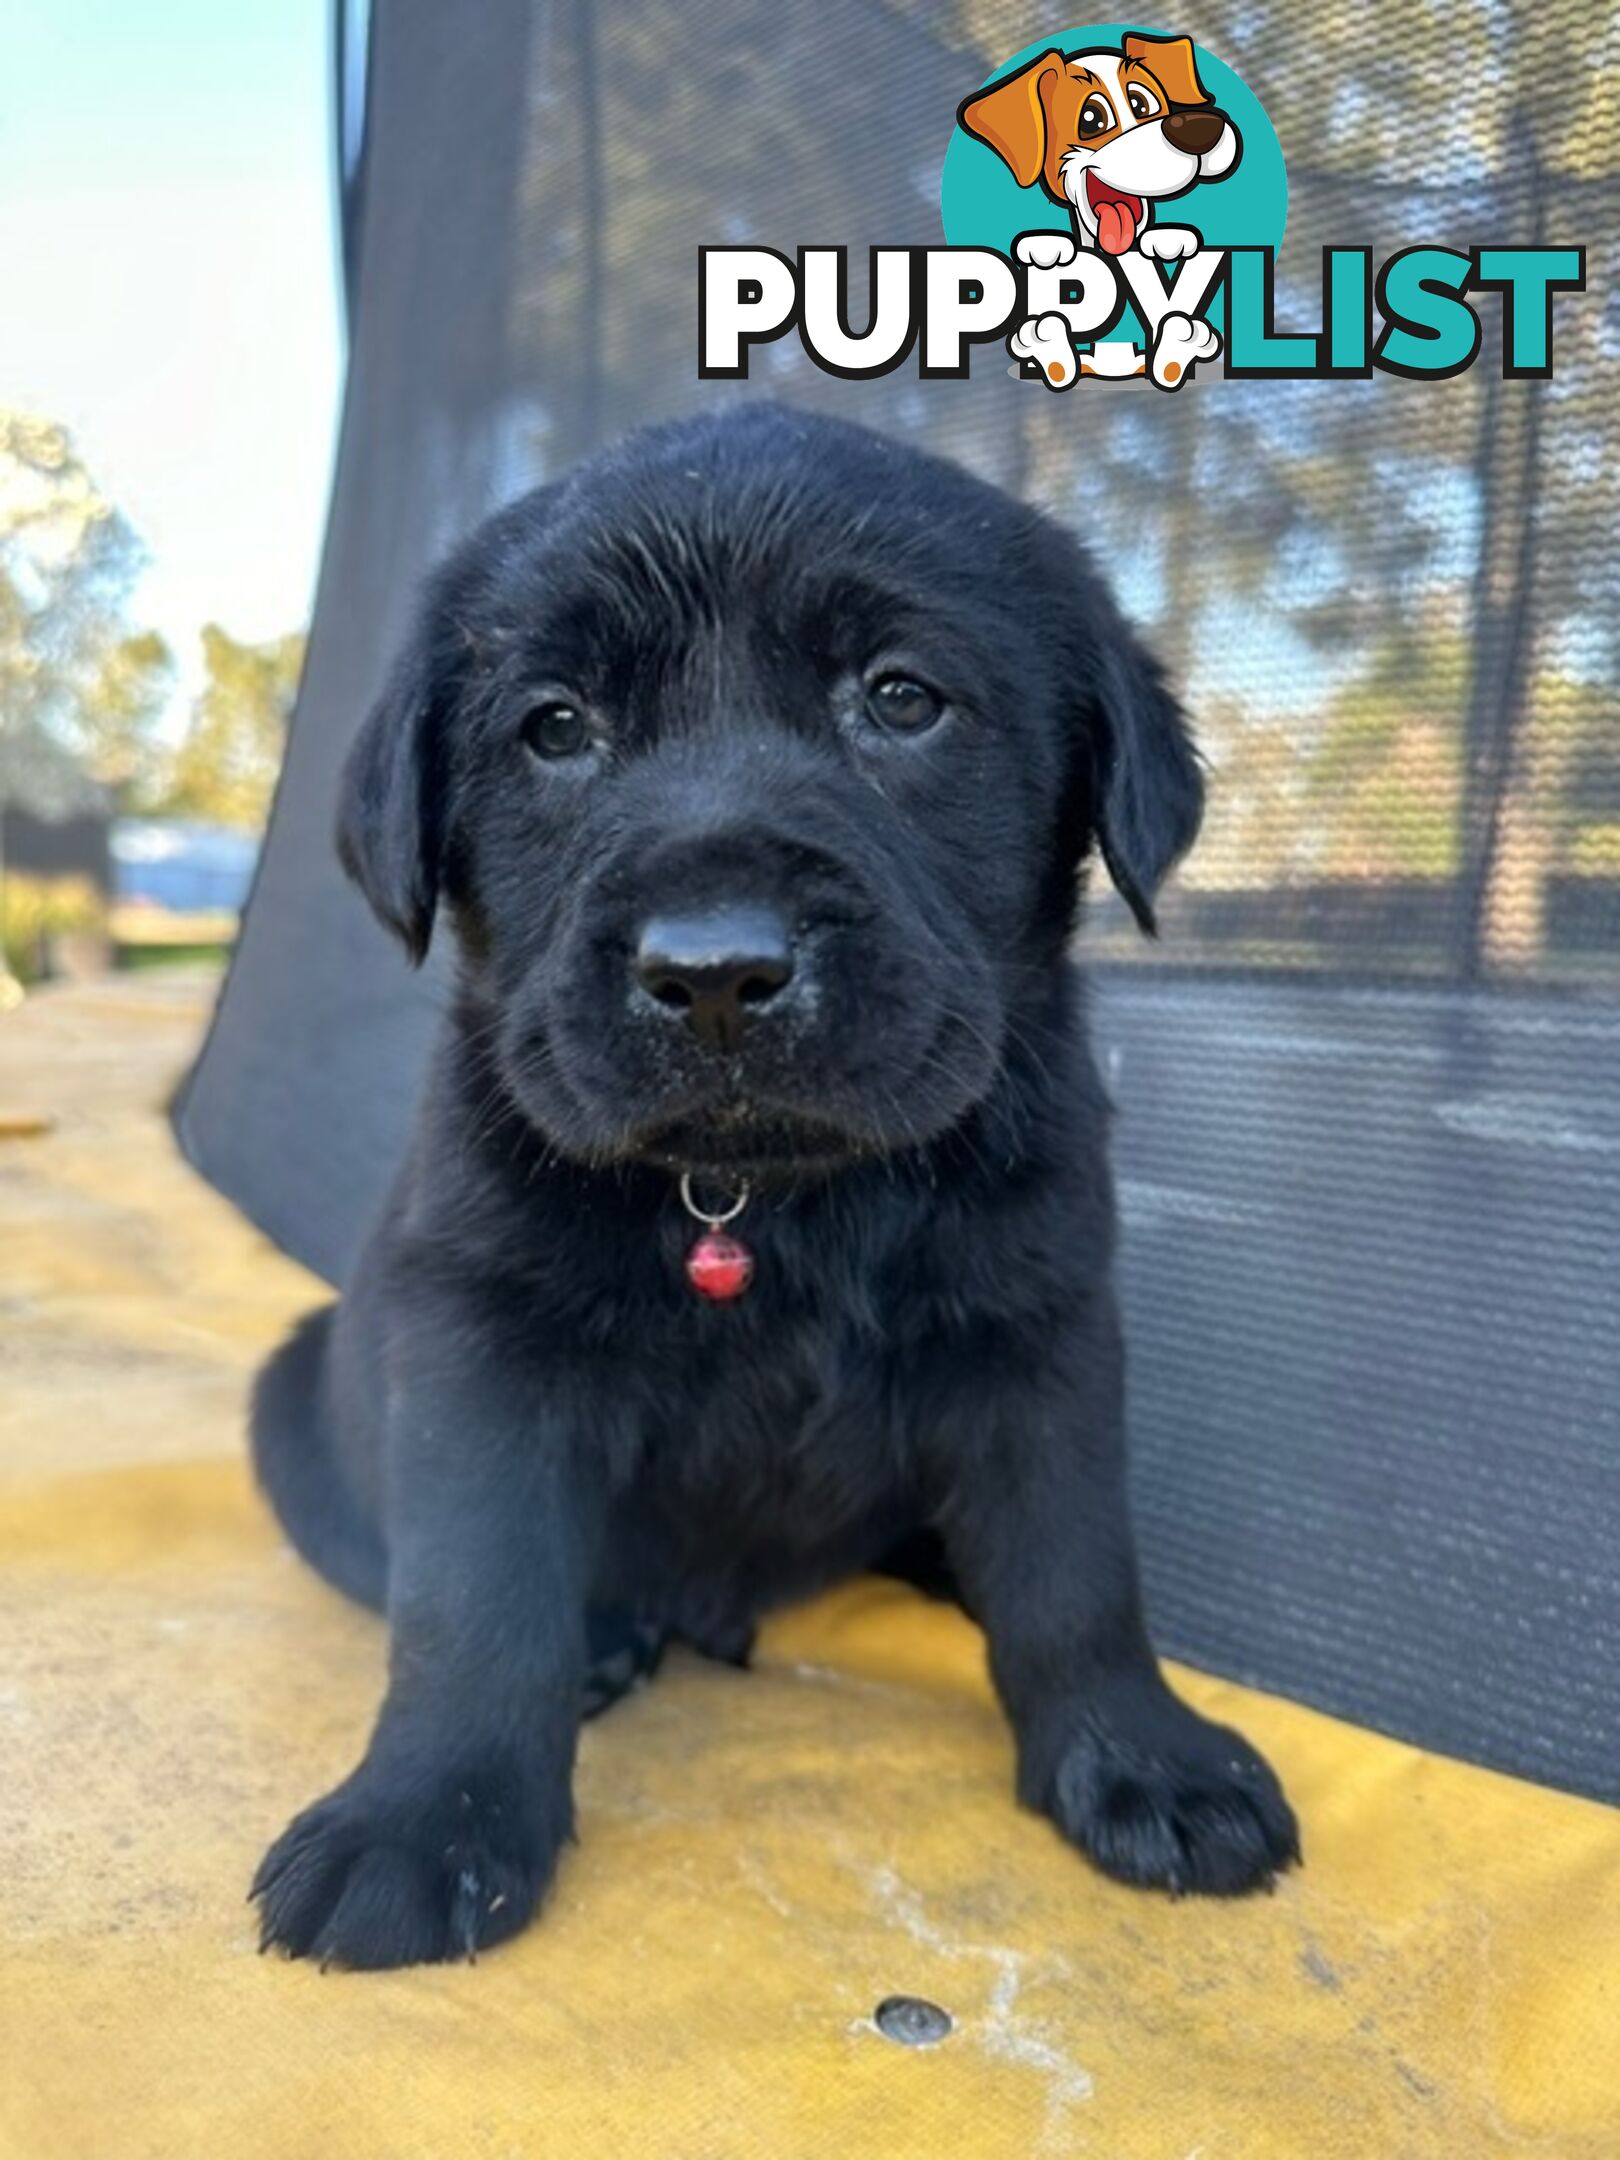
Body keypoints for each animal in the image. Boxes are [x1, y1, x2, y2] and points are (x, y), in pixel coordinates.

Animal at [250, 397, 1296, 1969]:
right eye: (554, 728)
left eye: (903, 698)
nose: (714, 973)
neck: (767, 1199)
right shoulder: (476, 1342)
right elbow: (472, 1600)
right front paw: (425, 1818)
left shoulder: (1041, 1330)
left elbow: (1074, 1566)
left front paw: (1140, 1753)